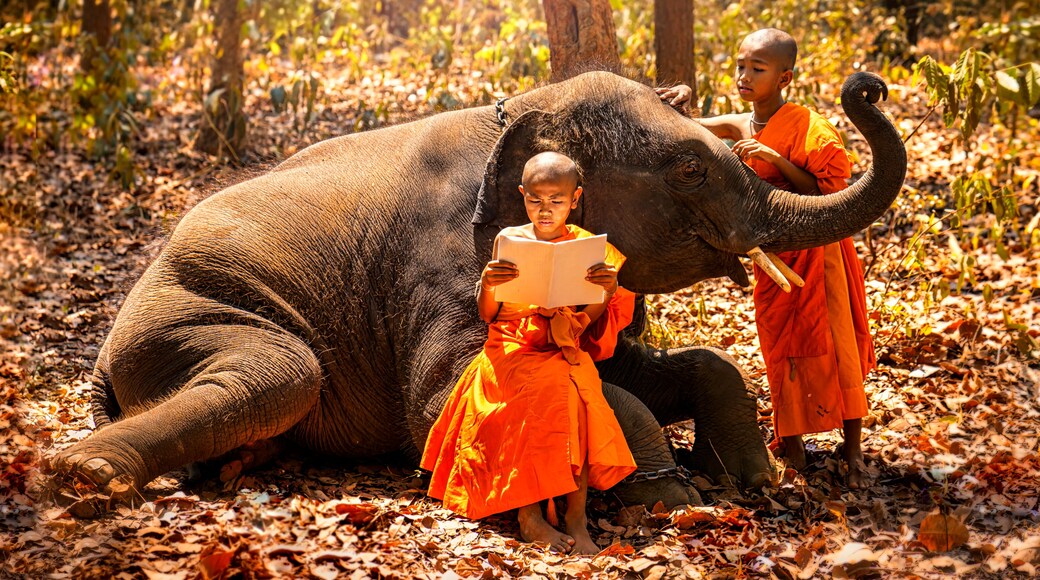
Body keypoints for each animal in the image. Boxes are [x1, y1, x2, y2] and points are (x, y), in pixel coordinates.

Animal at [50, 70, 905, 510]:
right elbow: (446, 402)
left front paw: (760, 482)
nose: (871, 84)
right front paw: (669, 496)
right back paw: (87, 476)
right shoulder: (447, 264)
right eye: (692, 171)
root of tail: (103, 352)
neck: (528, 107)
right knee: (282, 371)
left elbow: (663, 367)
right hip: (194, 311)